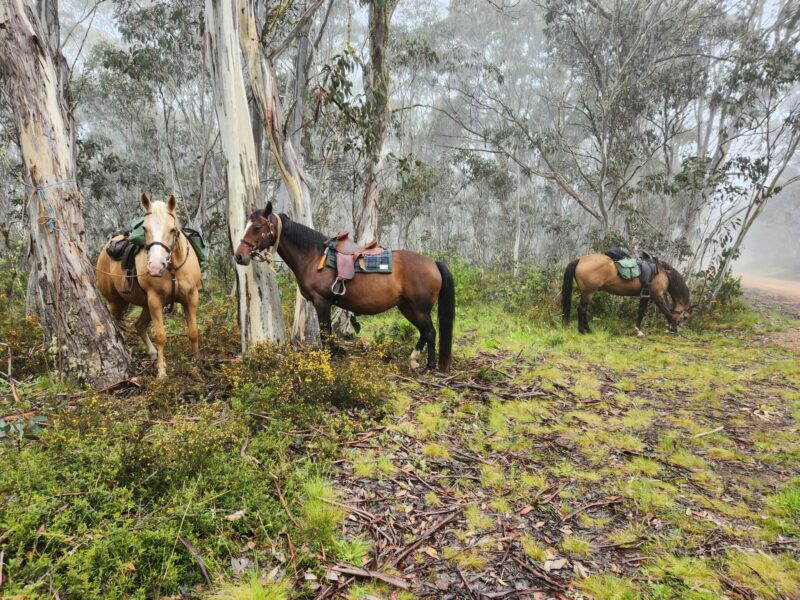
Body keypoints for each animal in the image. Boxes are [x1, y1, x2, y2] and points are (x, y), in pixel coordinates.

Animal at [96, 193, 202, 377]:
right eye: (144, 229)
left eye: (172, 229)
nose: (155, 267)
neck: (173, 269)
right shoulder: (155, 301)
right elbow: (160, 336)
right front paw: (161, 371)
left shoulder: (191, 298)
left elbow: (193, 332)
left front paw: (196, 365)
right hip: (116, 302)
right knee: (117, 323)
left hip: (144, 304)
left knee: (139, 325)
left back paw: (152, 352)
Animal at [233, 202, 455, 371]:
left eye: (256, 227)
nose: (239, 256)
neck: (313, 256)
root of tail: (433, 263)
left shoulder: (322, 301)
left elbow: (325, 333)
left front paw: (327, 359)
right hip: (407, 307)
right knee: (425, 333)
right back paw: (415, 360)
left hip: (418, 308)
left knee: (430, 332)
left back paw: (429, 366)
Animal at [561, 252, 691, 335]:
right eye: (685, 317)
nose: (681, 327)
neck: (663, 273)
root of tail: (580, 259)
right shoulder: (657, 296)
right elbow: (667, 312)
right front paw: (673, 329)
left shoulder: (645, 296)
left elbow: (641, 312)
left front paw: (638, 330)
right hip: (589, 292)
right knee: (581, 309)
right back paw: (582, 330)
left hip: (587, 292)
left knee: (584, 309)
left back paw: (588, 329)